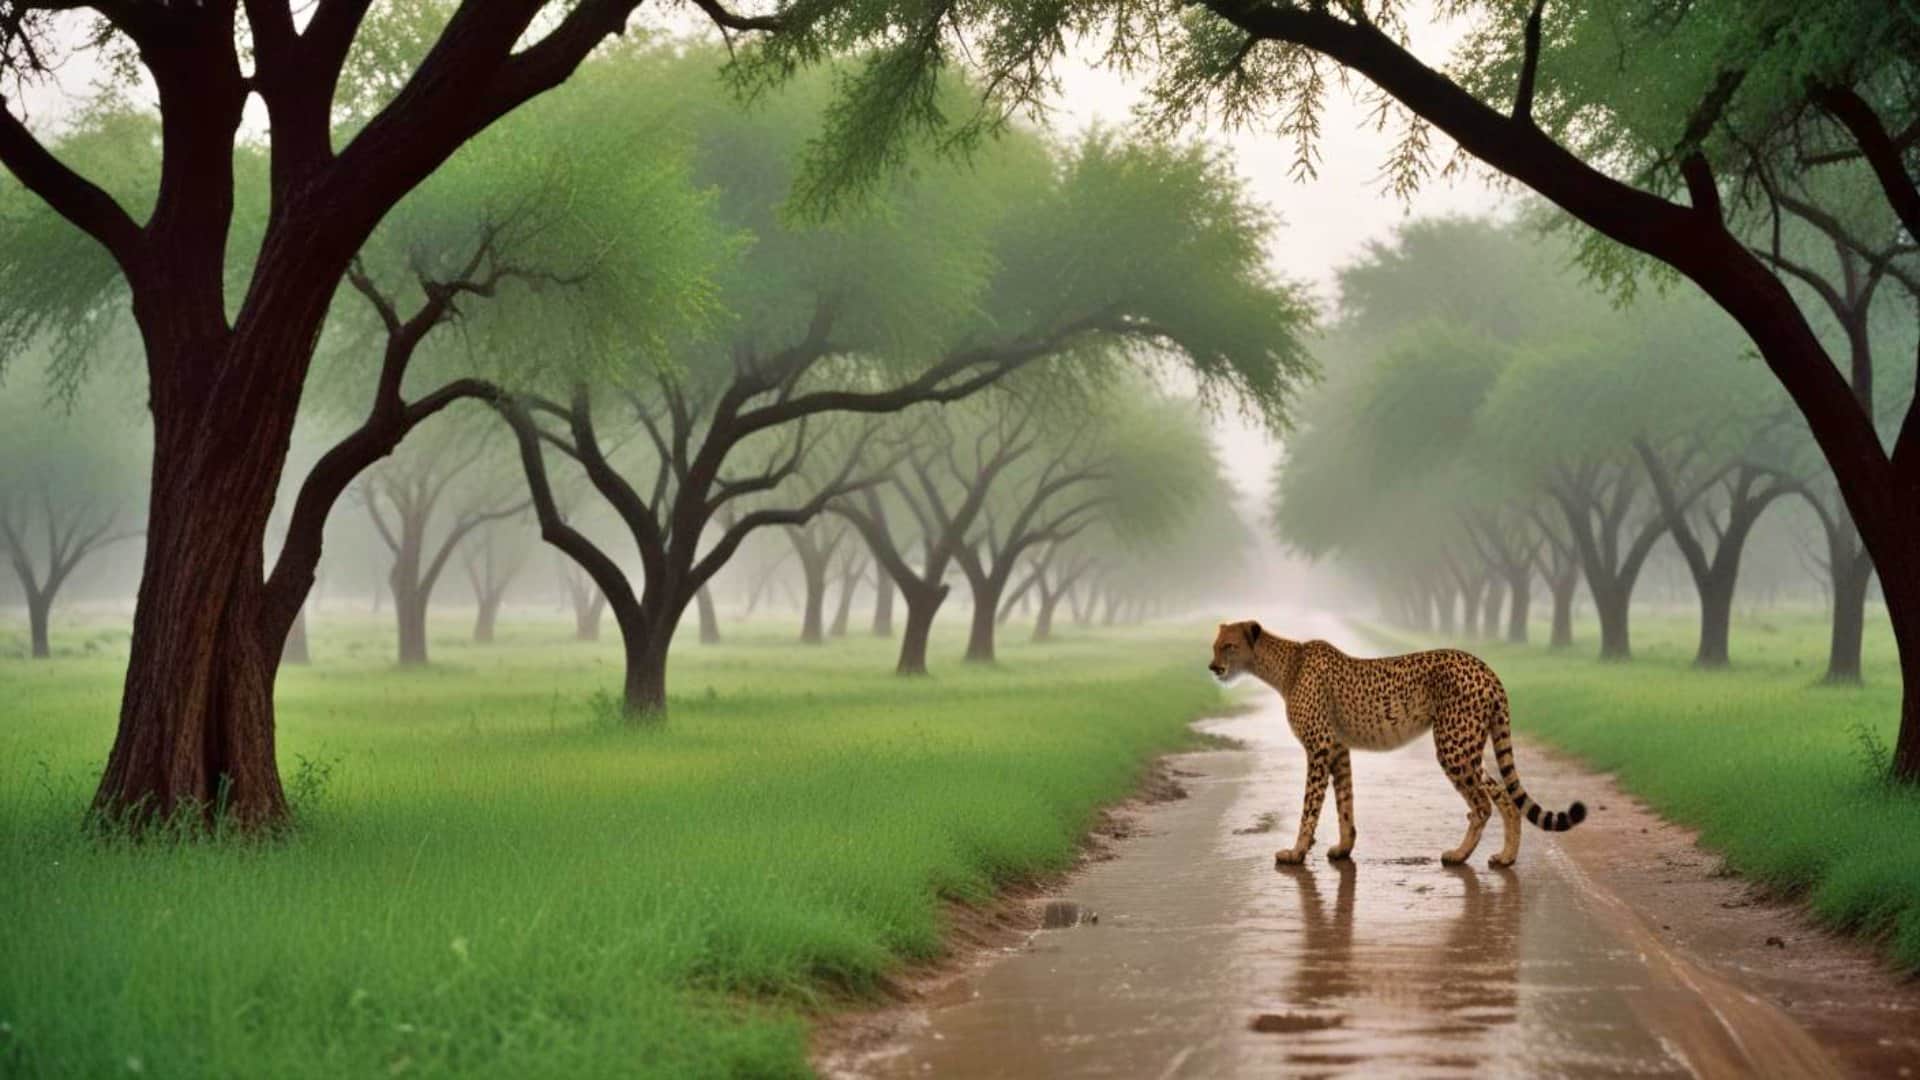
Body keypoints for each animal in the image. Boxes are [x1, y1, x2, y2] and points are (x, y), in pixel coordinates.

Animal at [1209, 620, 1587, 869]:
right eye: (1214, 646)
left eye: (1229, 646)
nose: (1213, 667)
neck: (1286, 665)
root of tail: (1486, 669)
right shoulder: (1338, 749)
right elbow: (1344, 803)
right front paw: (1344, 848)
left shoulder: (1319, 748)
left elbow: (1310, 806)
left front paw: (1296, 853)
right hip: (1468, 749)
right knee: (1504, 796)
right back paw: (1507, 857)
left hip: (1452, 747)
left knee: (1481, 805)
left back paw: (1458, 855)